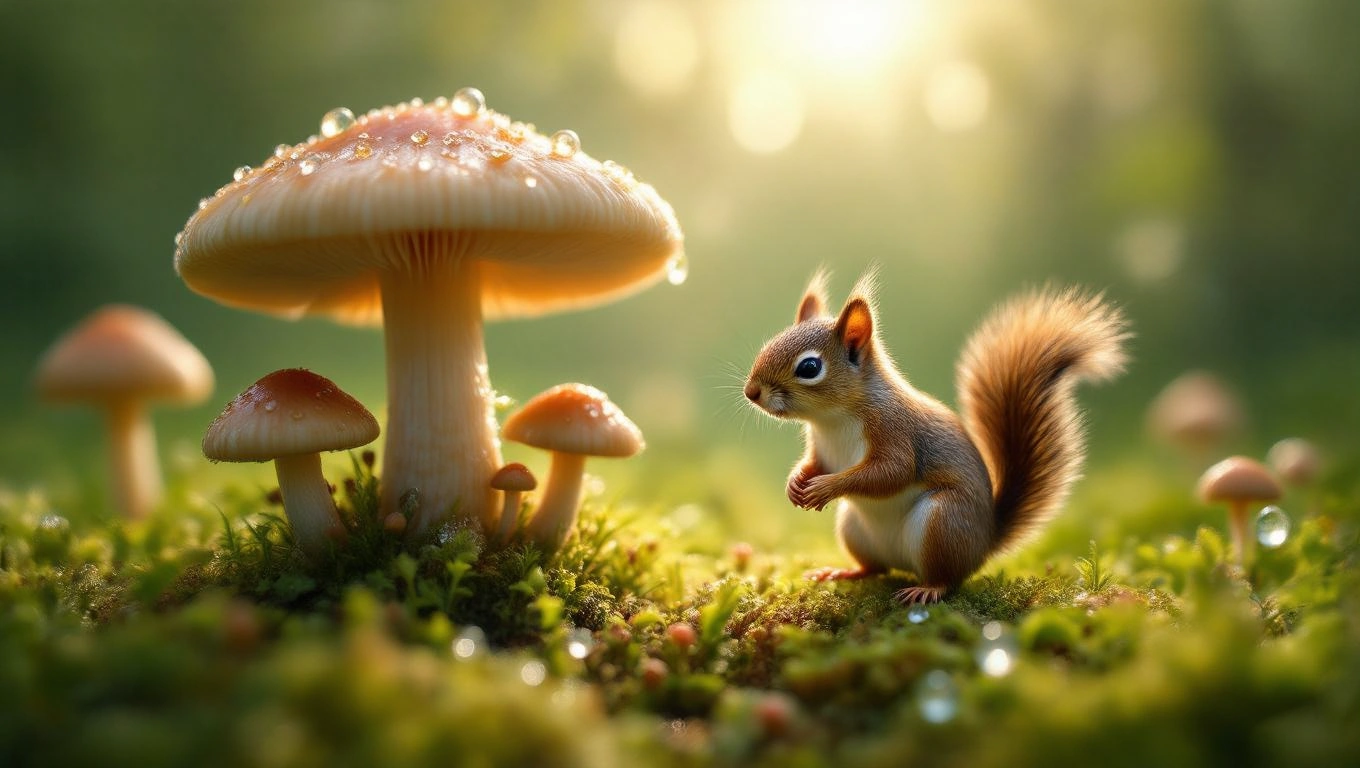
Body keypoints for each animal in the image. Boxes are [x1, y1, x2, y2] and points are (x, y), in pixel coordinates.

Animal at [743, 271, 1129, 604]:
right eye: (768, 344)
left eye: (809, 367)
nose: (751, 392)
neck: (831, 419)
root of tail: (984, 541)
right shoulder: (821, 447)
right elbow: (814, 463)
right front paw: (796, 482)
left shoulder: (894, 432)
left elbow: (890, 473)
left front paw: (825, 487)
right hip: (854, 528)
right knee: (875, 568)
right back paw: (843, 572)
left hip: (942, 522)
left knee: (947, 578)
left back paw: (927, 590)